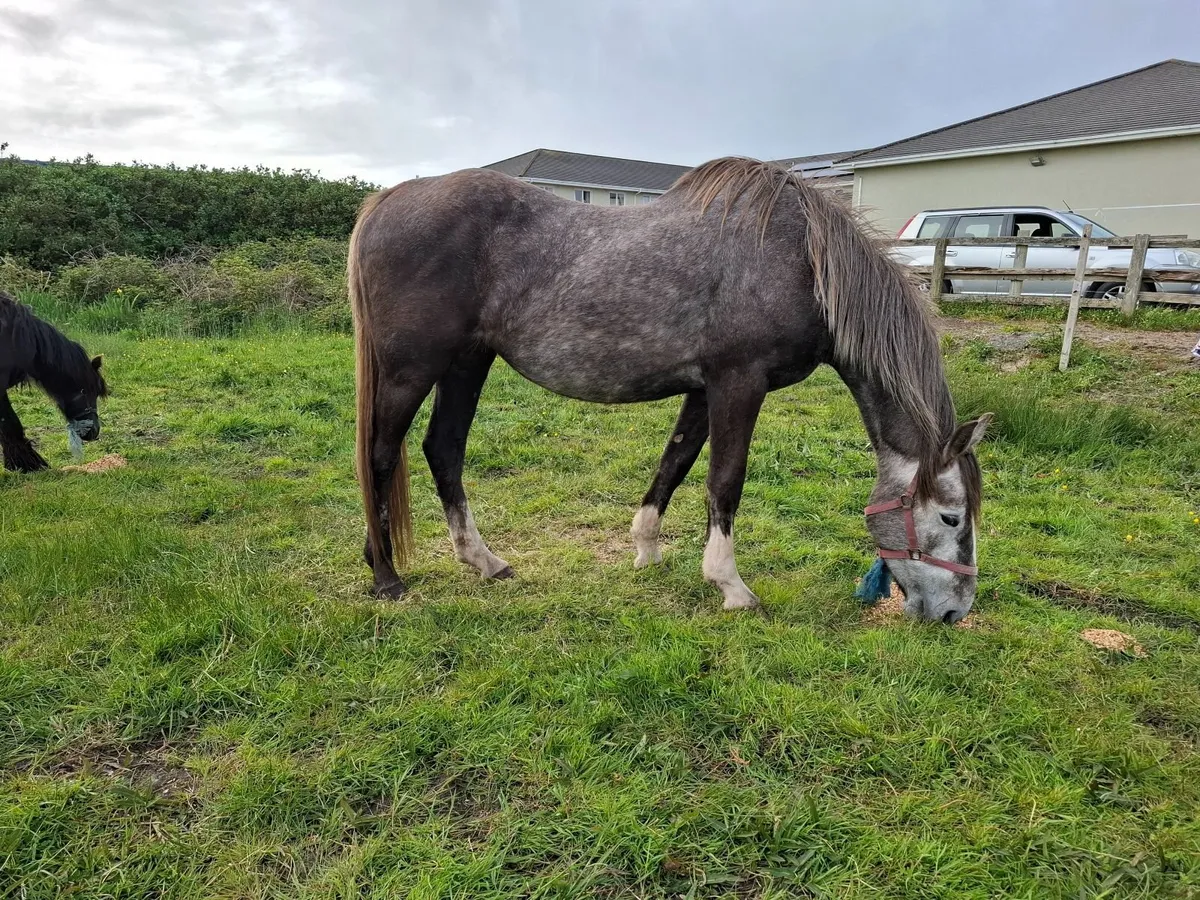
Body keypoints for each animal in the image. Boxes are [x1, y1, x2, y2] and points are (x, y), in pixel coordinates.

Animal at [347, 157, 991, 624]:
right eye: (953, 517)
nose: (955, 612)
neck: (804, 261)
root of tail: (389, 199)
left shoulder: (704, 389)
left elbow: (675, 463)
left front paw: (646, 550)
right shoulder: (739, 382)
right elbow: (724, 481)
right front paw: (731, 586)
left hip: (467, 363)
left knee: (443, 450)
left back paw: (483, 561)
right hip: (412, 370)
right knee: (381, 454)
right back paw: (385, 575)